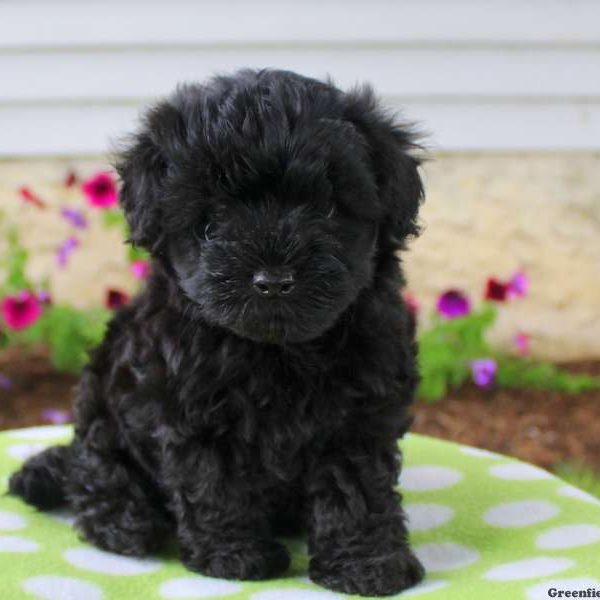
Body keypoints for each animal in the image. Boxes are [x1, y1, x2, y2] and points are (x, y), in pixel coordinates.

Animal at [9, 69, 424, 596]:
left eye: (328, 210)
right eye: (213, 220)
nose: (273, 279)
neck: (277, 352)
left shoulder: (361, 415)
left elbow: (357, 488)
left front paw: (367, 563)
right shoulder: (187, 407)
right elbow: (213, 481)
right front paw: (234, 556)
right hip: (100, 399)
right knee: (97, 466)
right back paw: (123, 523)